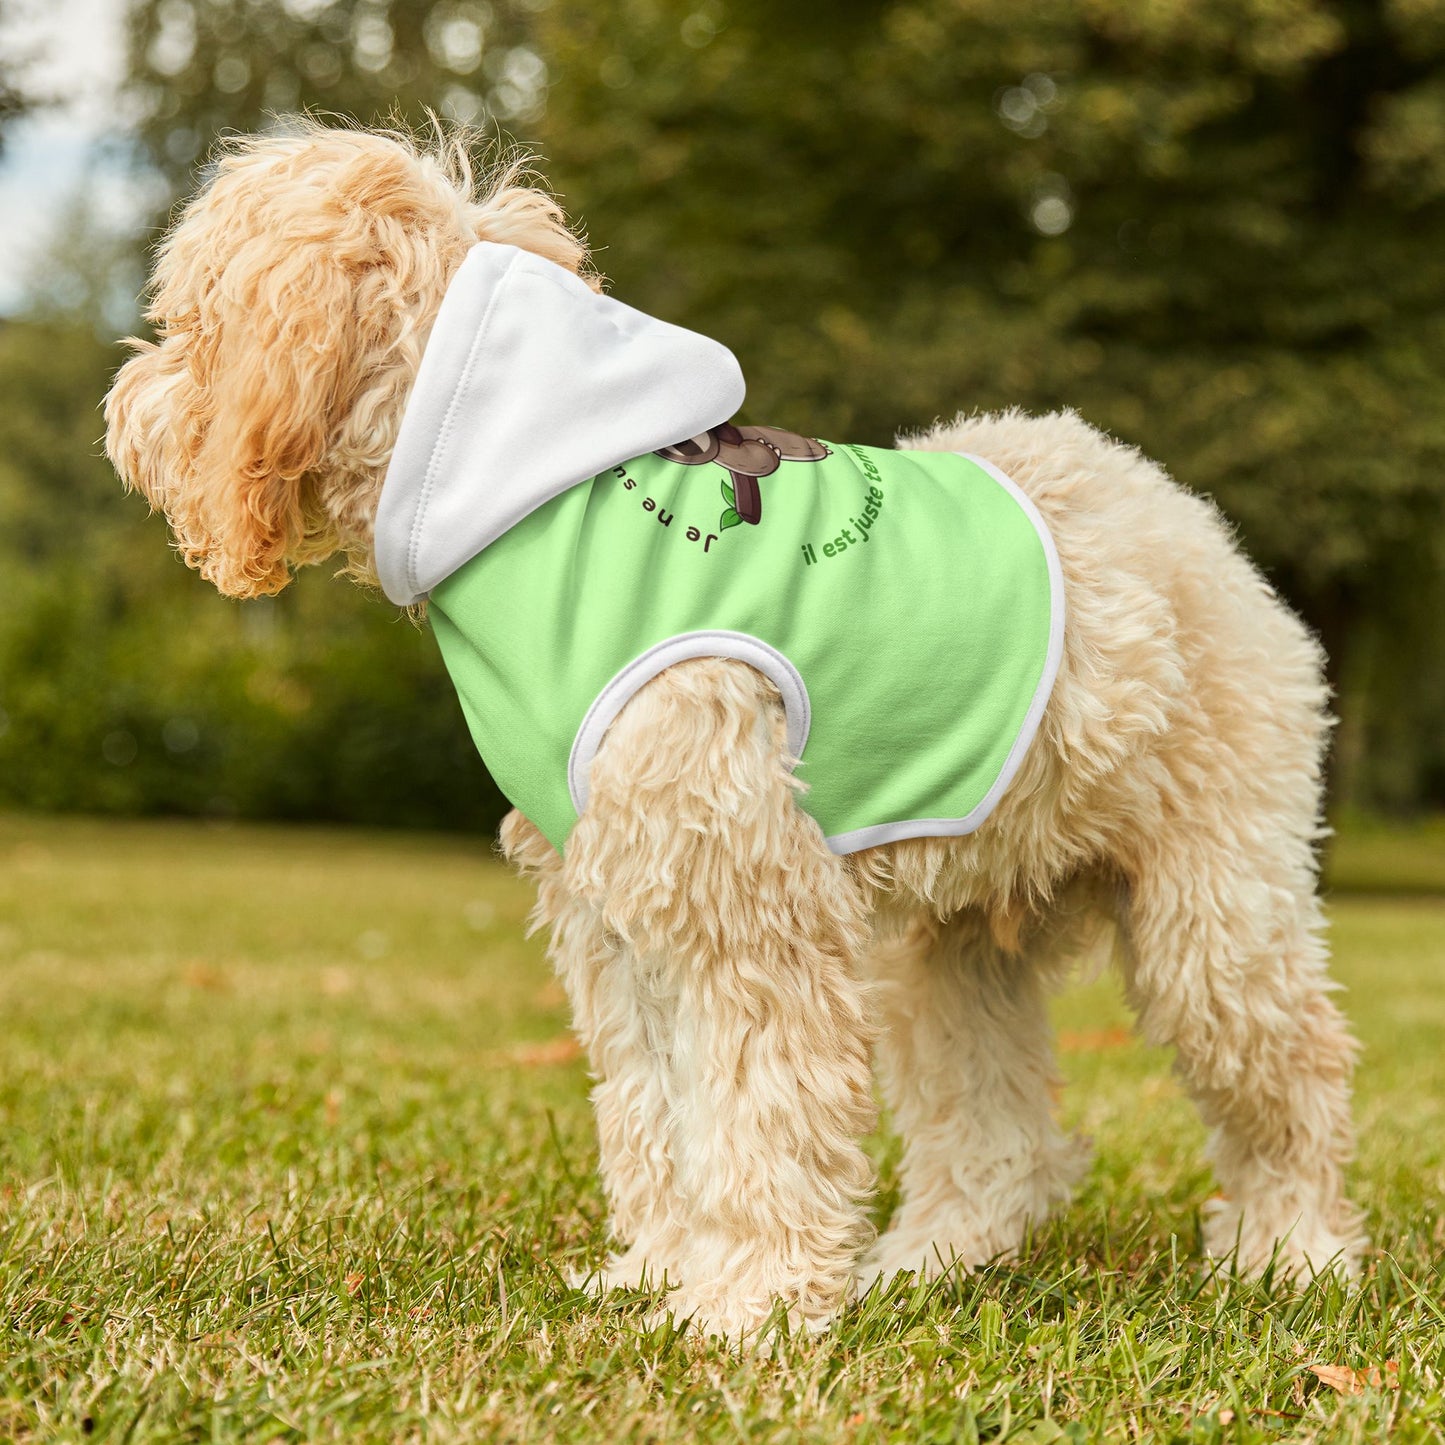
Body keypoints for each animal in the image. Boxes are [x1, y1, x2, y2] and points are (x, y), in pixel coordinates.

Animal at [104, 124, 1364, 1340]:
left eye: (190, 318)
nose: (124, 407)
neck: (526, 497)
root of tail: (1184, 517)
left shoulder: (744, 904)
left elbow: (759, 1110)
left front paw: (747, 1305)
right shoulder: (619, 911)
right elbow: (656, 1111)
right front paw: (661, 1273)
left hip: (1212, 910)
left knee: (1292, 1073)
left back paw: (1290, 1252)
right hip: (950, 946)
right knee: (996, 1133)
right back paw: (928, 1260)